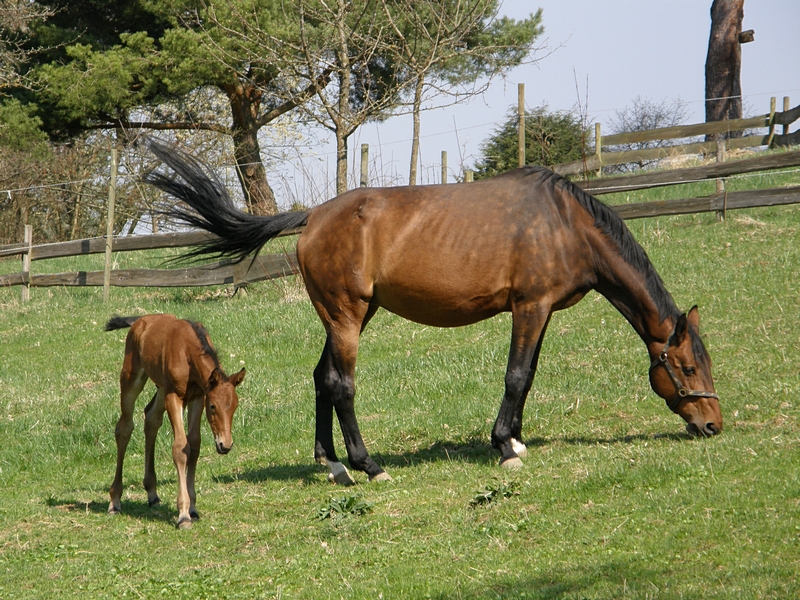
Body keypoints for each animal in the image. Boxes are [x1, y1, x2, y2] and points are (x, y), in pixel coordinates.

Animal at [104, 316, 245, 528]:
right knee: (124, 428)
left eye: (235, 406)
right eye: (213, 406)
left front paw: (193, 509)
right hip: (132, 378)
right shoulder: (175, 397)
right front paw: (183, 514)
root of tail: (139, 320)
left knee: (151, 418)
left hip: (161, 387)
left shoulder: (197, 396)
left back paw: (152, 493)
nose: (225, 445)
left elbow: (194, 445)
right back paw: (115, 501)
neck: (187, 350)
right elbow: (180, 448)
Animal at [147, 138, 720, 486]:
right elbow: (518, 375)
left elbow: (527, 375)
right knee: (340, 385)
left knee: (320, 378)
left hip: (347, 317)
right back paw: (367, 465)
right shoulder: (530, 307)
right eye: (688, 367)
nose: (712, 424)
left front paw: (514, 438)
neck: (564, 223)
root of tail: (313, 217)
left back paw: (333, 464)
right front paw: (505, 445)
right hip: (347, 318)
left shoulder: (542, 312)